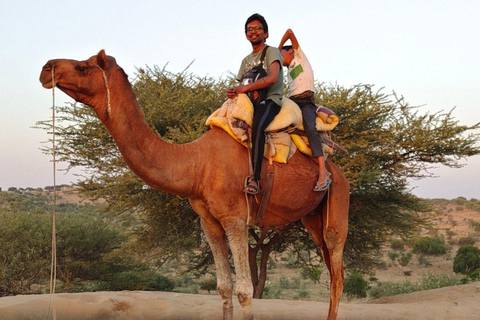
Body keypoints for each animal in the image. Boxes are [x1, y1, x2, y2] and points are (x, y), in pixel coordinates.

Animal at [39, 50, 350, 320]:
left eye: (82, 67)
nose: (47, 68)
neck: (197, 164)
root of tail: (338, 171)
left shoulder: (236, 217)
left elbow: (244, 291)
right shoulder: (208, 221)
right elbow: (224, 288)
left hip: (338, 202)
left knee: (337, 275)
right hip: (311, 218)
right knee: (331, 270)